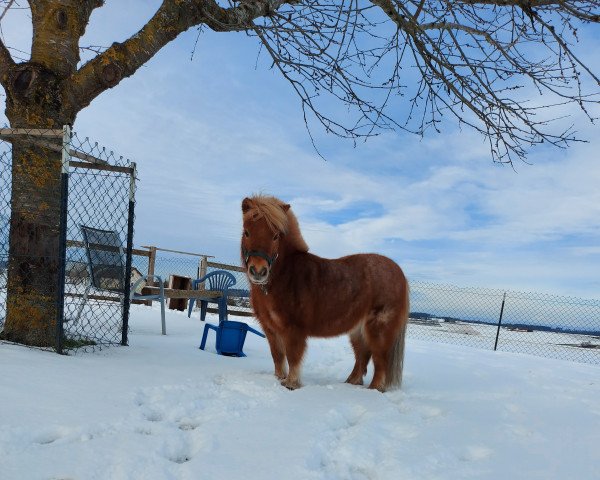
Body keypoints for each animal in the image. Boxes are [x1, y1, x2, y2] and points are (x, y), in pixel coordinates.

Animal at [241, 196, 410, 394]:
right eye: (247, 232)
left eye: (276, 236)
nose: (258, 272)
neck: (284, 275)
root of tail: (399, 273)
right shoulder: (270, 330)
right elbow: (277, 356)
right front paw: (279, 378)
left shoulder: (293, 330)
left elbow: (293, 356)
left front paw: (291, 384)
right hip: (358, 331)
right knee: (363, 356)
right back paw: (351, 382)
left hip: (379, 329)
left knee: (380, 360)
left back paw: (373, 390)